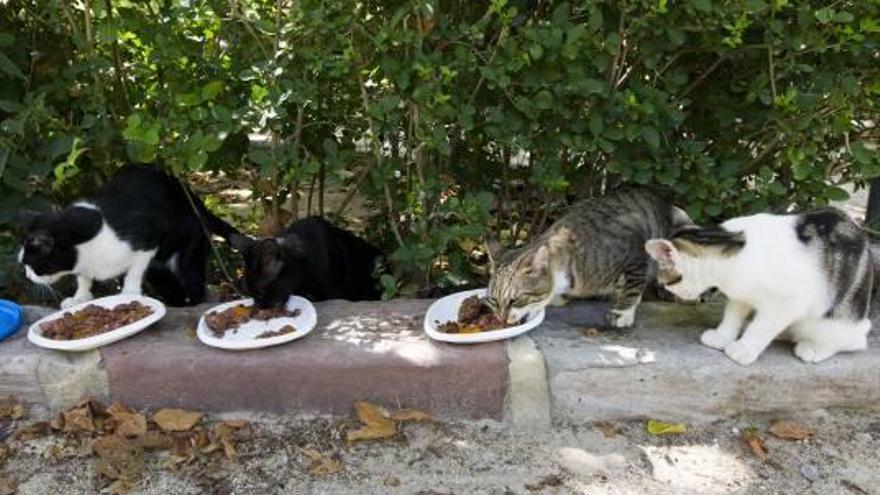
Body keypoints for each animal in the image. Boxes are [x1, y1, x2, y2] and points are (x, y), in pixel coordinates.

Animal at [19, 165, 241, 308]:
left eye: (31, 265)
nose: (28, 277)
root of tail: (192, 198)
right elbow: (83, 278)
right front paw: (80, 298)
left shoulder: (149, 234)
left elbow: (135, 269)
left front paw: (129, 293)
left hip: (190, 246)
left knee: (190, 281)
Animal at [484, 188, 692, 328]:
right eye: (493, 299)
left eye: (515, 300)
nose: (501, 319)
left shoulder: (635, 253)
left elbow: (632, 287)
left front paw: (622, 312)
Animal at [644, 207, 876, 366]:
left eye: (665, 281)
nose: (662, 288)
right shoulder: (740, 295)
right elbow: (733, 315)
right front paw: (722, 337)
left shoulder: (789, 302)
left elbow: (762, 326)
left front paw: (744, 348)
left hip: (833, 319)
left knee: (853, 341)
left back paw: (814, 348)